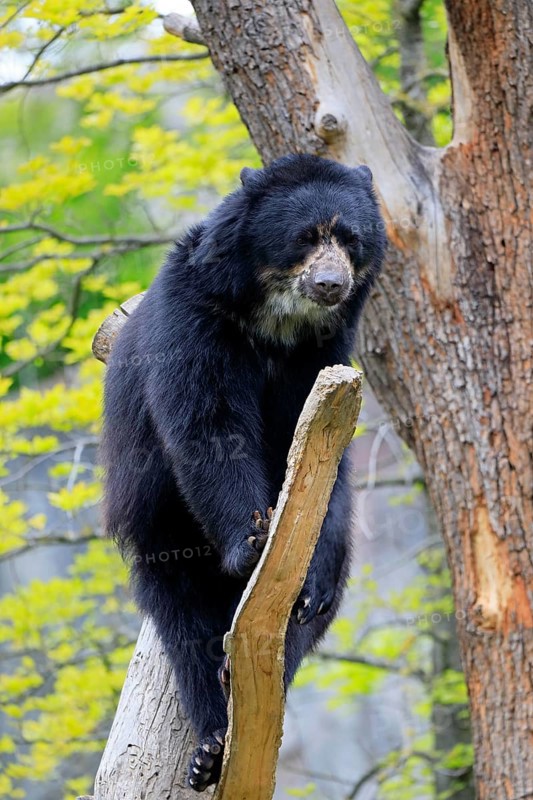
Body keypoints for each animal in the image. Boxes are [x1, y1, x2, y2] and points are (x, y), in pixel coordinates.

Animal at [101, 153, 386, 791]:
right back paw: (210, 747)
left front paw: (304, 576)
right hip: (163, 532)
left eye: (351, 242)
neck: (276, 321)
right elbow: (208, 423)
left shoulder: (327, 353)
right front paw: (252, 542)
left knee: (299, 625)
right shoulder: (194, 318)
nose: (331, 285)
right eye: (305, 237)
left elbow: (319, 458)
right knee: (187, 627)